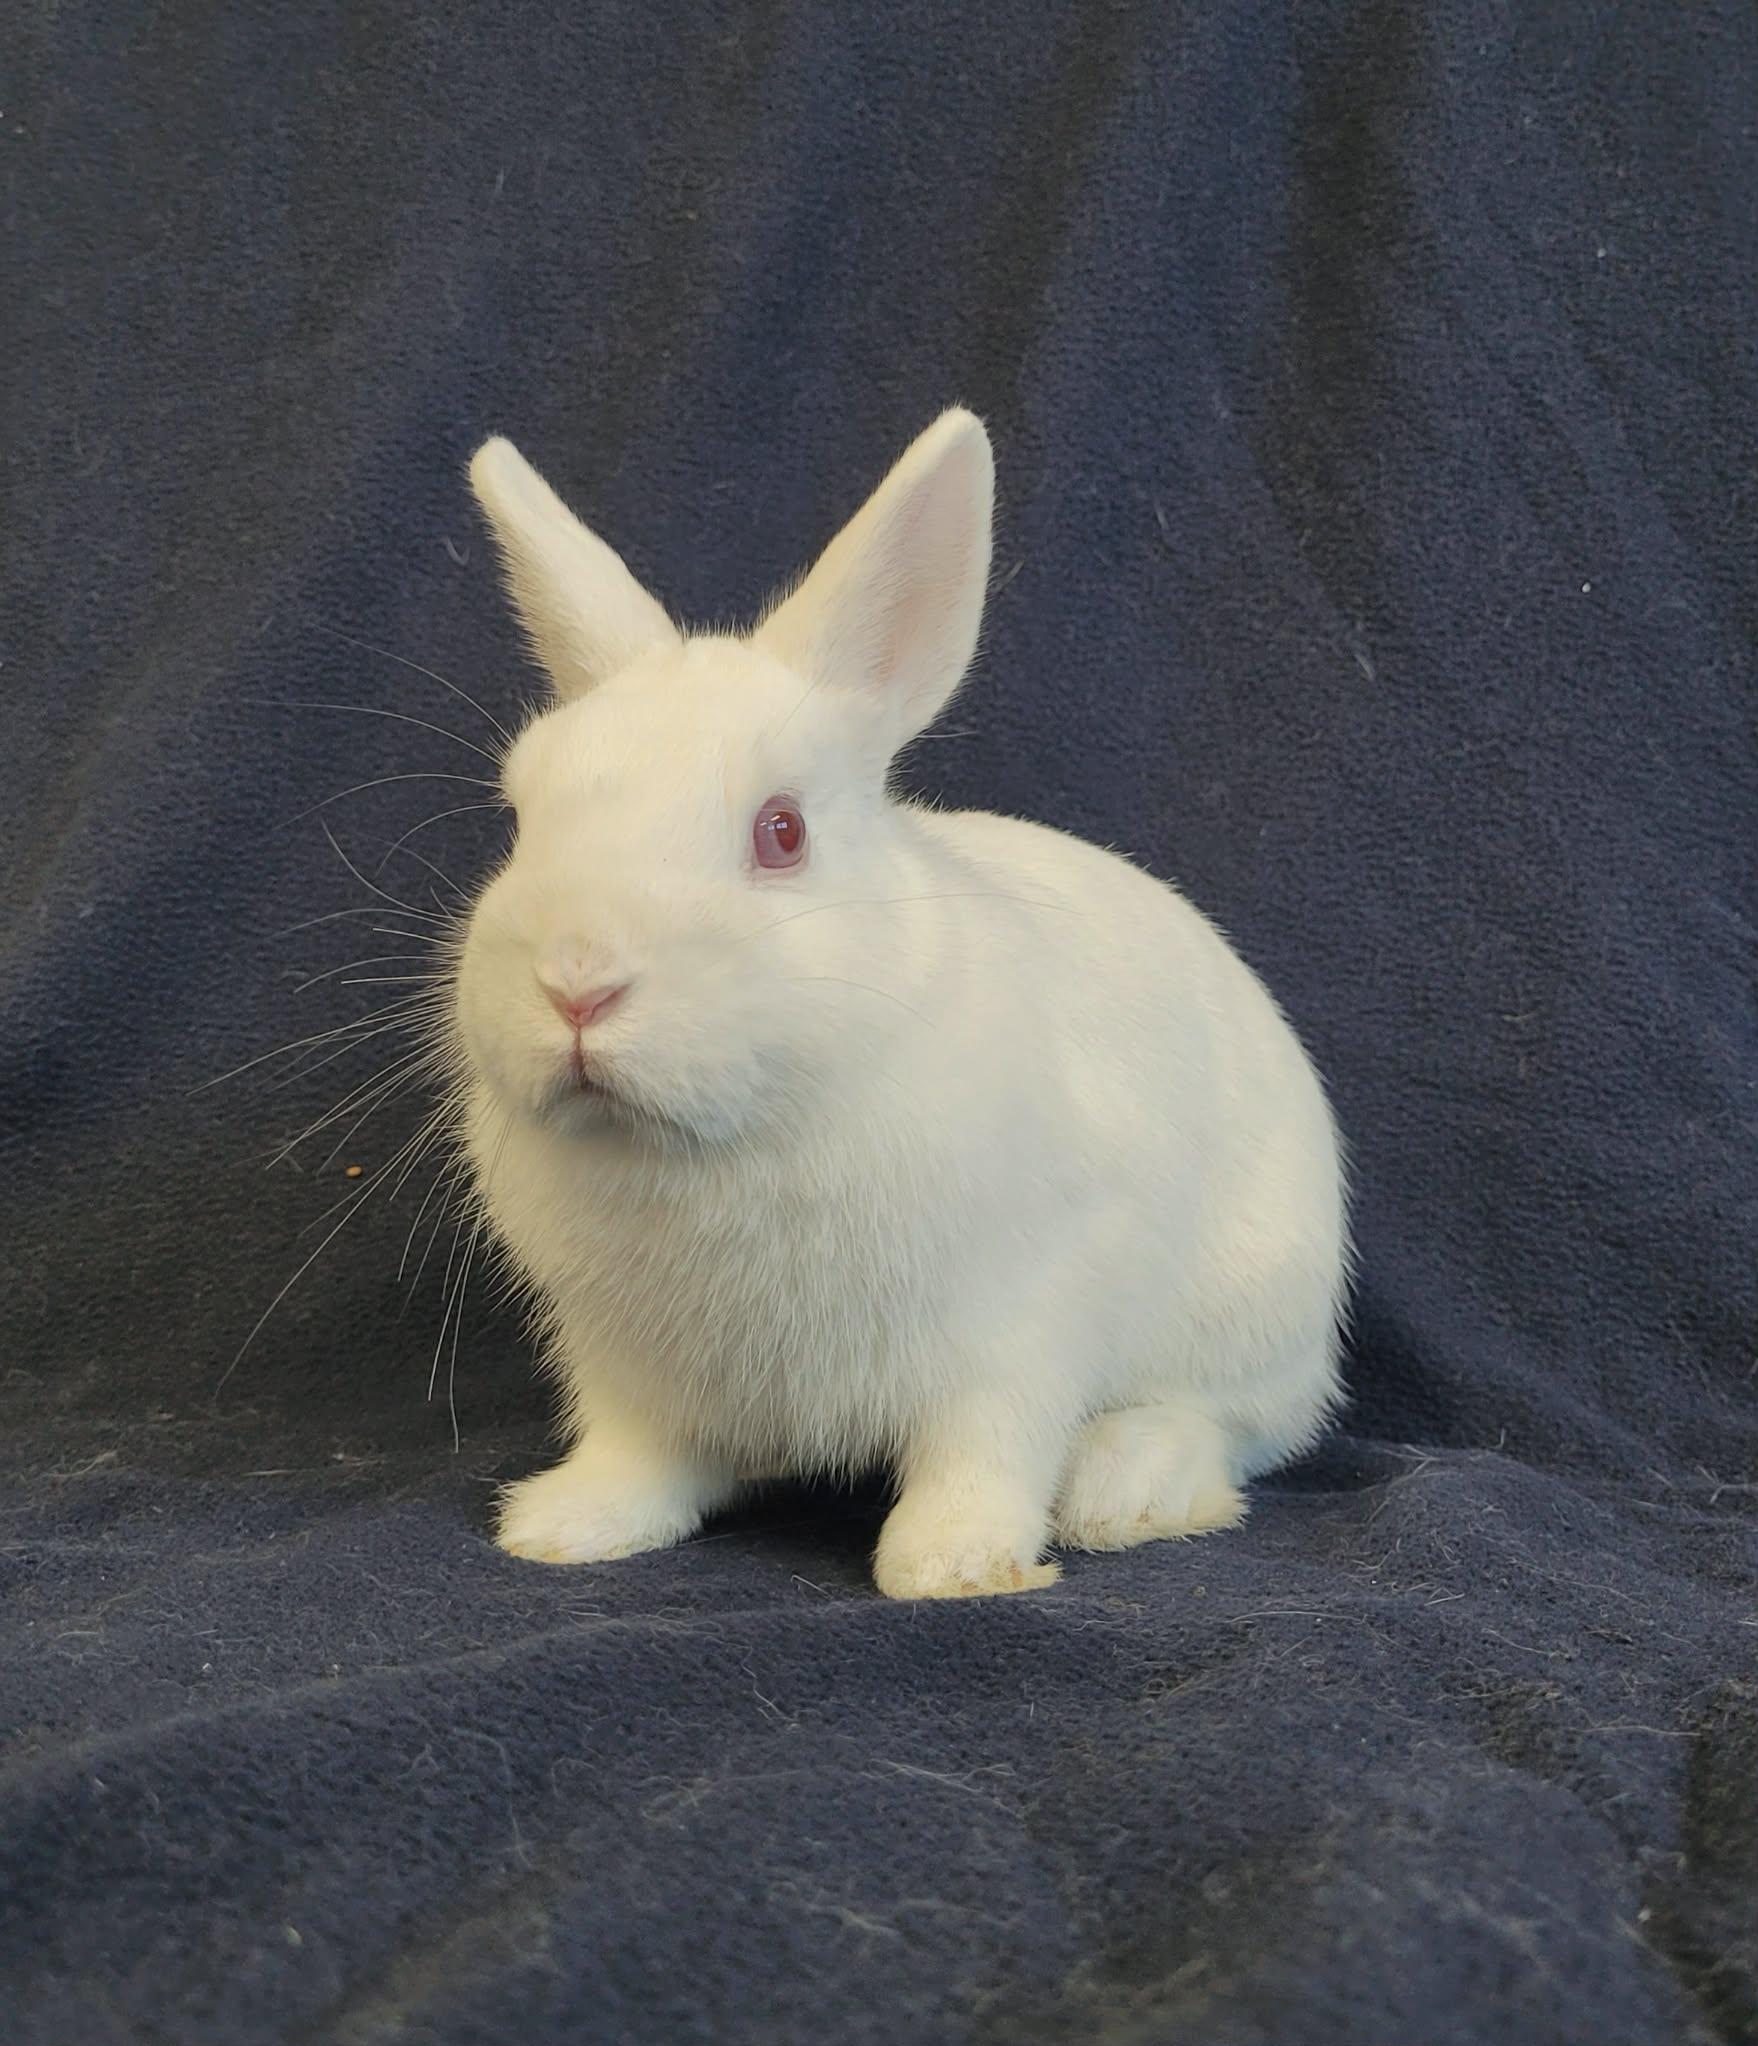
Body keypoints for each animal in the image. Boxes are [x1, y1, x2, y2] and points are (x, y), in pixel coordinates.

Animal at [451, 408, 1347, 1599]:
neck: (726, 1142)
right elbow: (640, 1453)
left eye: (782, 832)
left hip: (1253, 1302)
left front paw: (953, 1564)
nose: (577, 981)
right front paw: (567, 1528)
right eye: (521, 818)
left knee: (1230, 1428)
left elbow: (986, 1447)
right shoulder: (628, 1364)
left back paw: (1126, 1492)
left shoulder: (1022, 1321)